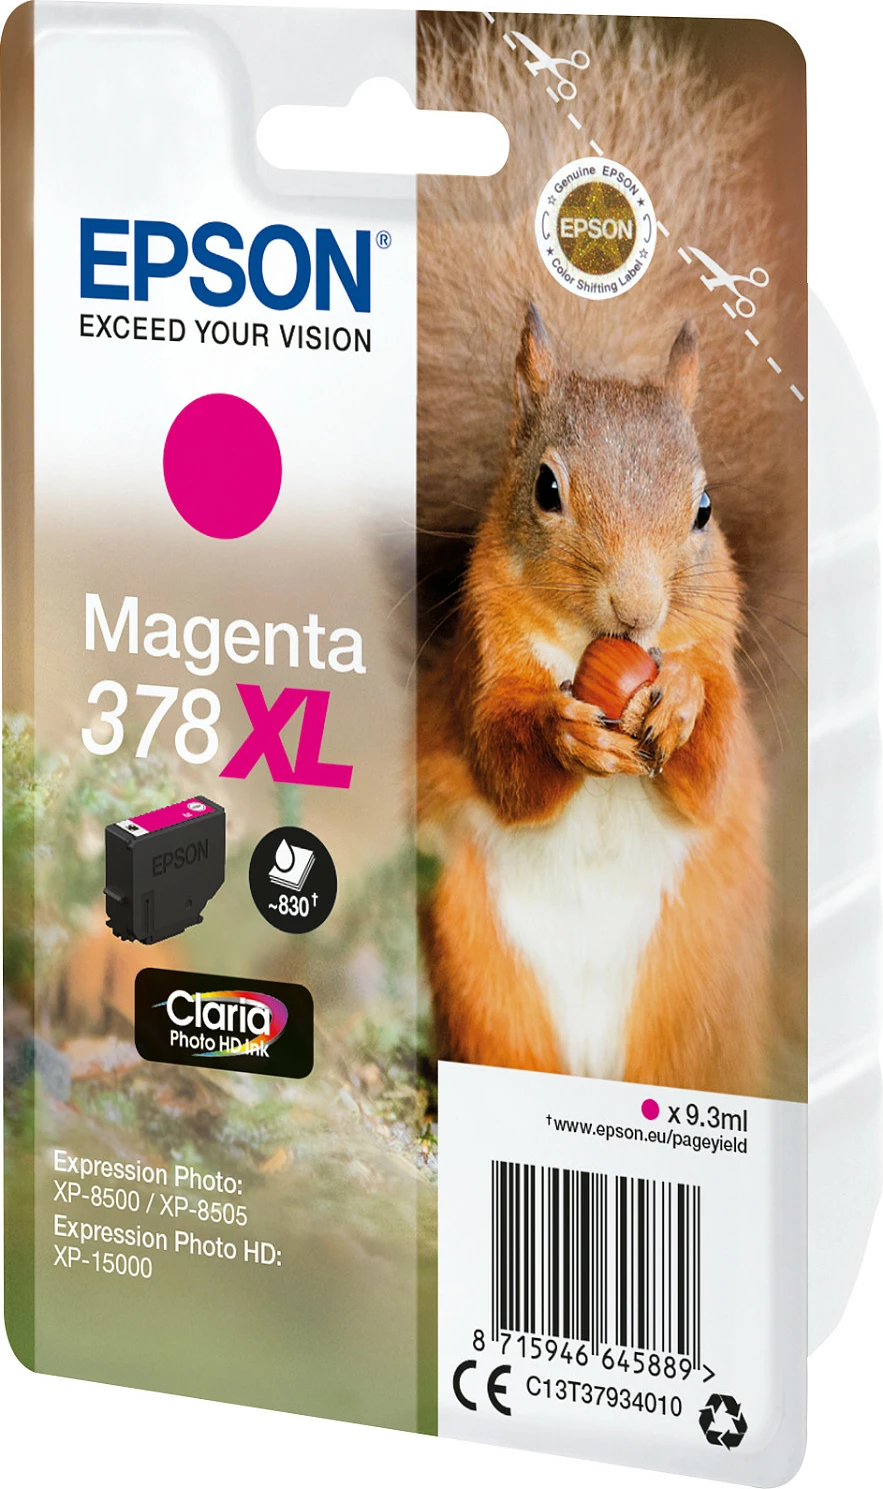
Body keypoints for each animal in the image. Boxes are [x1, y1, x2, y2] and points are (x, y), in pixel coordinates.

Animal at [415, 14, 806, 1096]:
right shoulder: (482, 659)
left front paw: (678, 703)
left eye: (704, 509)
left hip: (692, 996)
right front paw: (562, 734)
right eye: (546, 488)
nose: (635, 613)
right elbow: (500, 756)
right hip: (483, 974)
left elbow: (710, 765)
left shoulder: (717, 650)